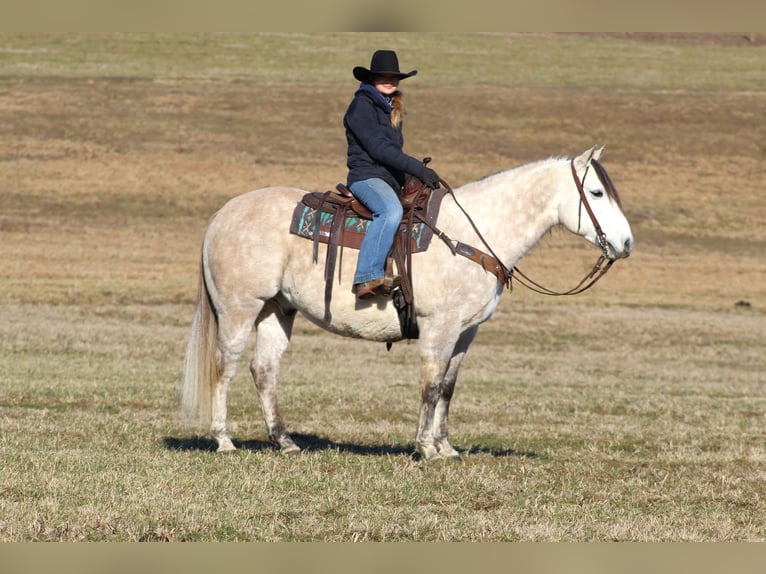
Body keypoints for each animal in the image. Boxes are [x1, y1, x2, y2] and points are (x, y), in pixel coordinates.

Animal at [182, 146, 636, 462]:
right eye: (596, 192)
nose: (627, 243)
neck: (471, 235)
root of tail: (222, 215)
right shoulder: (439, 327)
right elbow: (431, 384)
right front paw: (425, 448)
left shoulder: (465, 331)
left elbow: (448, 387)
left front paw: (446, 447)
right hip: (239, 309)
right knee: (226, 366)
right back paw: (224, 440)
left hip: (278, 309)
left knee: (265, 370)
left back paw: (286, 441)